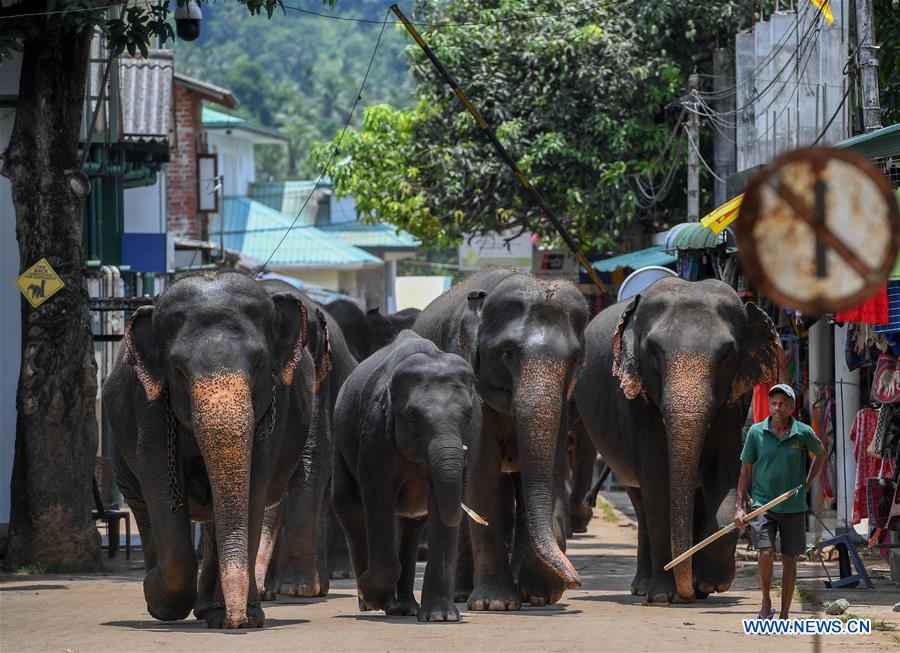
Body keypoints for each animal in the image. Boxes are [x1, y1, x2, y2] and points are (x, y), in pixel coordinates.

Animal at [104, 270, 316, 628]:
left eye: (259, 363)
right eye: (177, 370)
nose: (236, 621)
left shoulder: (274, 412)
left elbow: (253, 492)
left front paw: (246, 618)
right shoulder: (148, 408)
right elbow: (162, 491)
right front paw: (159, 599)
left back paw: (210, 610)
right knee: (144, 507)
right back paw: (160, 595)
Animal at [332, 332, 486, 620]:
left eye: (468, 414)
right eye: (414, 416)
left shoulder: (473, 436)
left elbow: (441, 506)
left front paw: (440, 617)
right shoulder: (375, 432)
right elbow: (379, 497)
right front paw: (375, 593)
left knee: (411, 526)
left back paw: (402, 609)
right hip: (341, 441)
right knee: (350, 509)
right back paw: (369, 601)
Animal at [414, 266, 592, 612]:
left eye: (575, 359)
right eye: (507, 353)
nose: (576, 581)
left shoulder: (564, 402)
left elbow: (549, 469)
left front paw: (540, 594)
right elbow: (481, 473)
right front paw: (495, 604)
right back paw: (462, 593)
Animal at [576, 278, 780, 604]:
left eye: (726, 354)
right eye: (653, 352)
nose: (687, 592)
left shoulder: (731, 407)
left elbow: (725, 474)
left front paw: (712, 583)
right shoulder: (637, 402)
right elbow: (657, 482)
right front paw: (664, 596)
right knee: (640, 499)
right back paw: (645, 588)